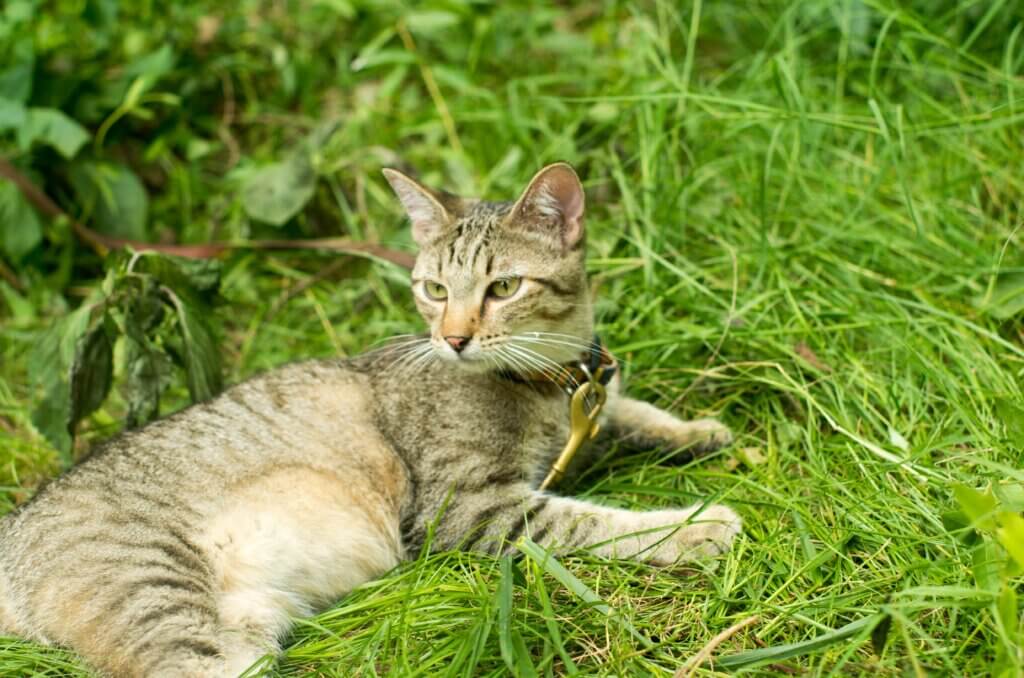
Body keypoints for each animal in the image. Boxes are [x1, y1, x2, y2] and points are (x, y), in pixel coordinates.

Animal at [0, 164, 741, 678]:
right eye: (434, 290)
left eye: (503, 287)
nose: (454, 338)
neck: (548, 383)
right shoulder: (470, 509)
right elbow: (599, 523)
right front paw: (698, 524)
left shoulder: (587, 407)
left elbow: (630, 410)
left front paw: (698, 431)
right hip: (153, 586)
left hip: (246, 621)